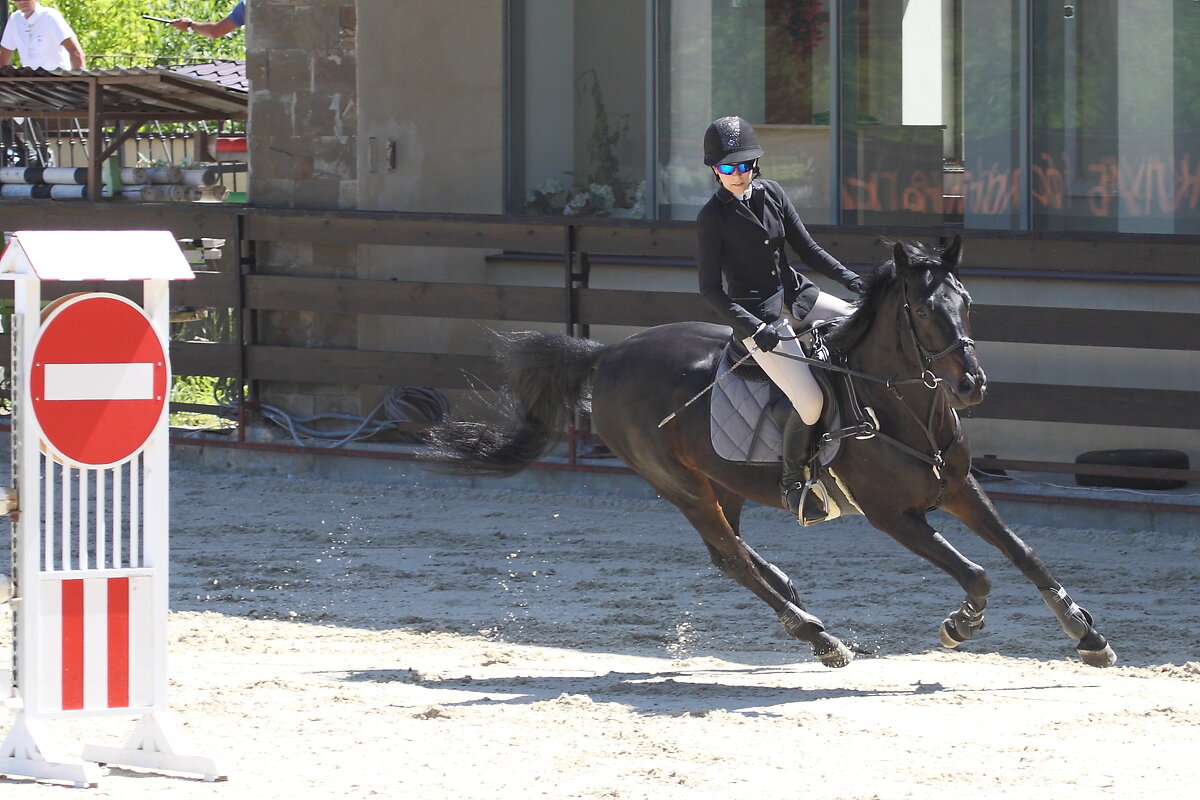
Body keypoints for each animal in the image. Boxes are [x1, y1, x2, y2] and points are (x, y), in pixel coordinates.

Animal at [422, 236, 1113, 671]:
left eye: (966, 302)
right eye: (921, 310)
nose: (971, 386)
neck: (902, 405)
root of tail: (609, 353)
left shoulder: (960, 489)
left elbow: (1024, 554)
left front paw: (1087, 636)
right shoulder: (894, 517)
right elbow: (977, 574)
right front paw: (959, 625)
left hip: (720, 481)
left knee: (731, 552)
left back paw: (793, 597)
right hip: (680, 485)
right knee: (727, 554)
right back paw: (818, 636)